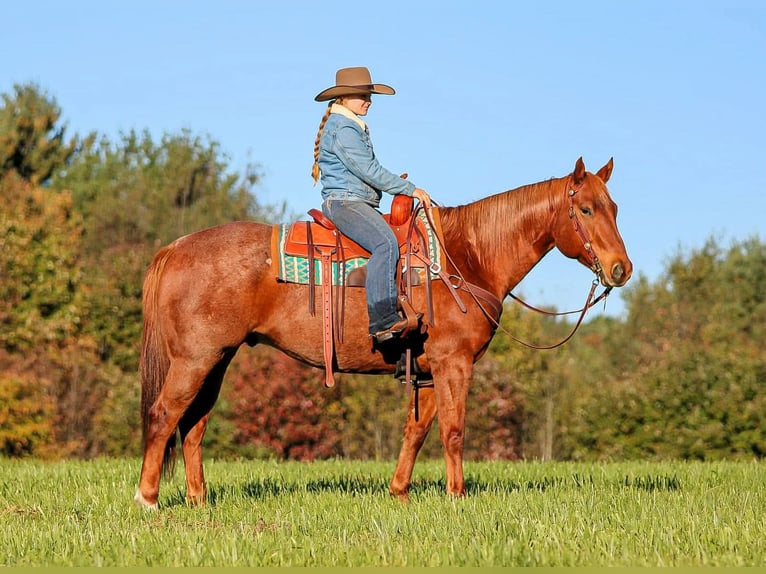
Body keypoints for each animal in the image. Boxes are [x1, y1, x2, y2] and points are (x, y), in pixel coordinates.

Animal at [134, 157, 632, 509]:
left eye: (615, 208)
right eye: (585, 209)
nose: (620, 270)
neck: (465, 257)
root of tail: (175, 248)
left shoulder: (430, 370)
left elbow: (418, 429)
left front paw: (400, 492)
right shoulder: (454, 364)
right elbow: (454, 429)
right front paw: (458, 497)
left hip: (216, 359)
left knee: (193, 425)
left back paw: (199, 501)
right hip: (195, 360)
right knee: (165, 415)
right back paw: (149, 499)